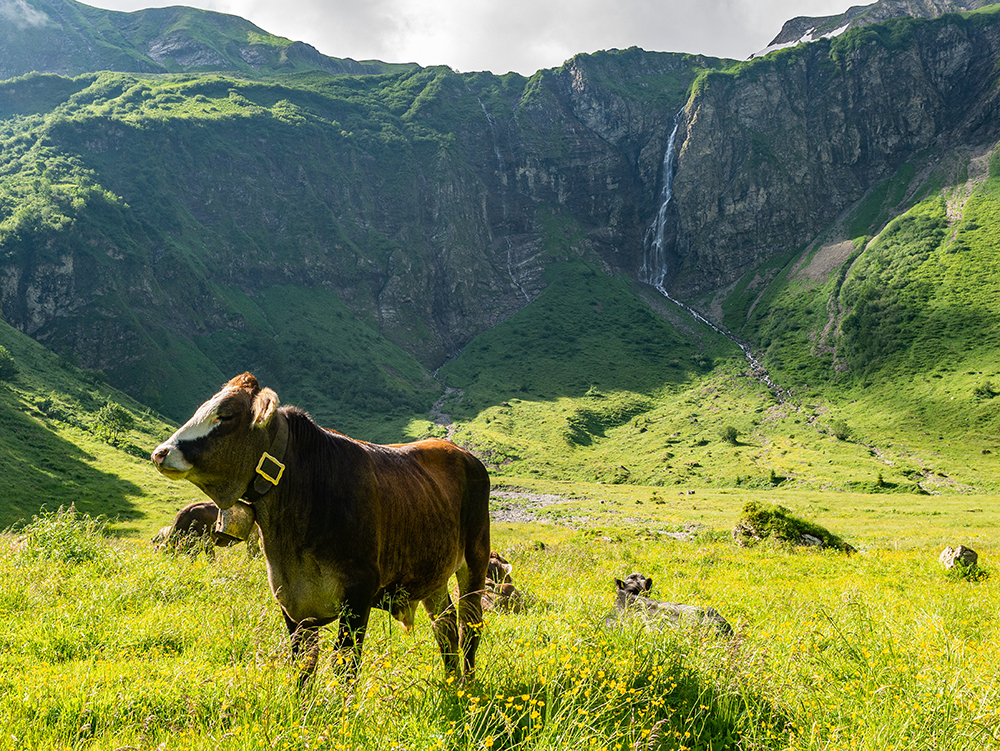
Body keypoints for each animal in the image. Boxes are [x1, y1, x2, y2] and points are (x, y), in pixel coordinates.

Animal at [150, 374, 490, 684]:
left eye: (226, 416)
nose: (160, 452)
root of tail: (461, 452)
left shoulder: (359, 594)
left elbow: (345, 668)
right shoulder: (292, 602)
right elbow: (303, 666)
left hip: (476, 561)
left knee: (469, 627)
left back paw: (469, 688)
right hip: (433, 574)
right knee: (445, 628)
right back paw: (452, 685)